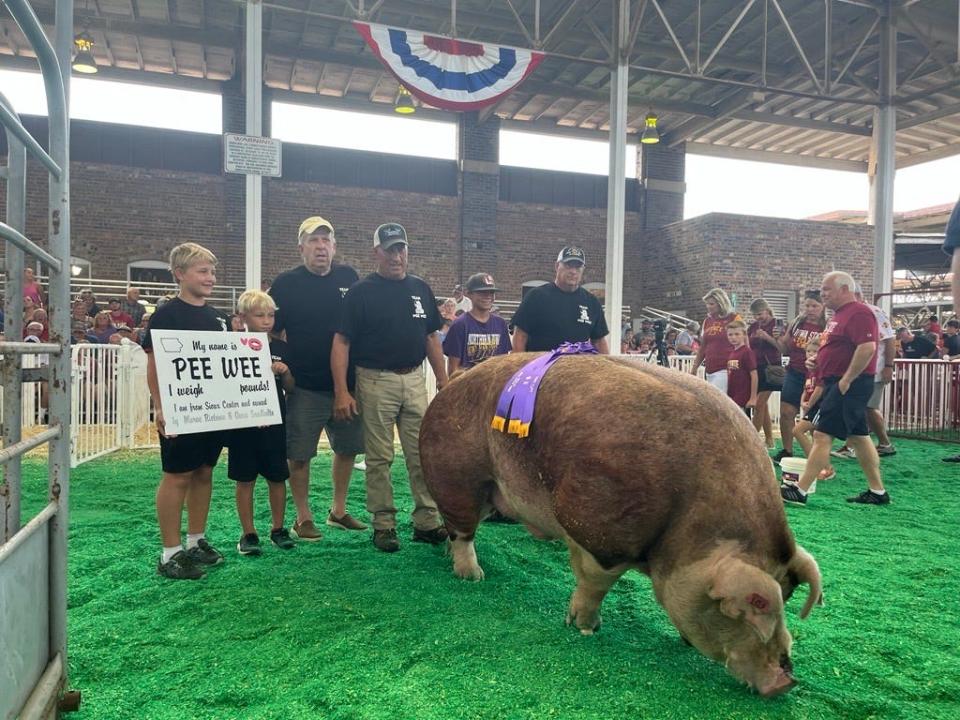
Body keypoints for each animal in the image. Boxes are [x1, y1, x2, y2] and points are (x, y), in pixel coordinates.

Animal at [420, 354, 824, 696]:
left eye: (788, 597)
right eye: (750, 608)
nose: (786, 682)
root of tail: (453, 382)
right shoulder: (598, 531)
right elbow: (594, 583)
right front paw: (585, 628)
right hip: (457, 474)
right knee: (463, 531)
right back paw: (473, 577)